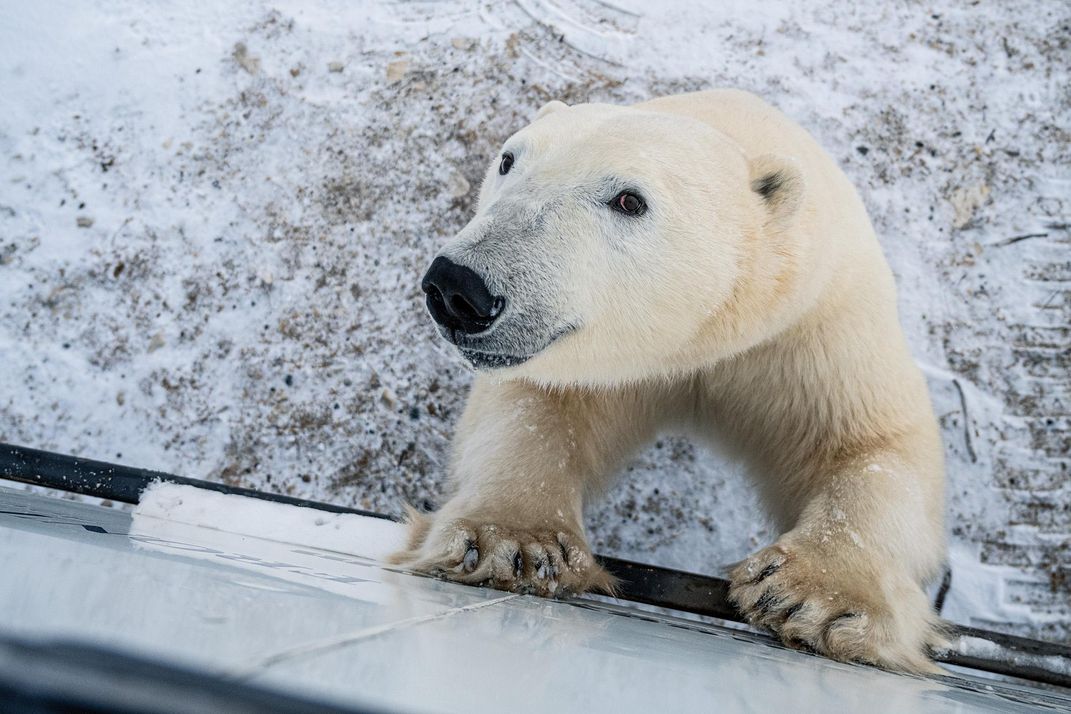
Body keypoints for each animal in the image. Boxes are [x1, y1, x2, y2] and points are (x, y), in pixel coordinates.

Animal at [394, 90, 946, 676]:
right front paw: (515, 544)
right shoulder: (591, 362)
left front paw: (817, 597)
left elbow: (873, 444)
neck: (699, 342)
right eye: (508, 159)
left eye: (629, 200)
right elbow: (533, 410)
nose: (459, 287)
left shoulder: (810, 324)